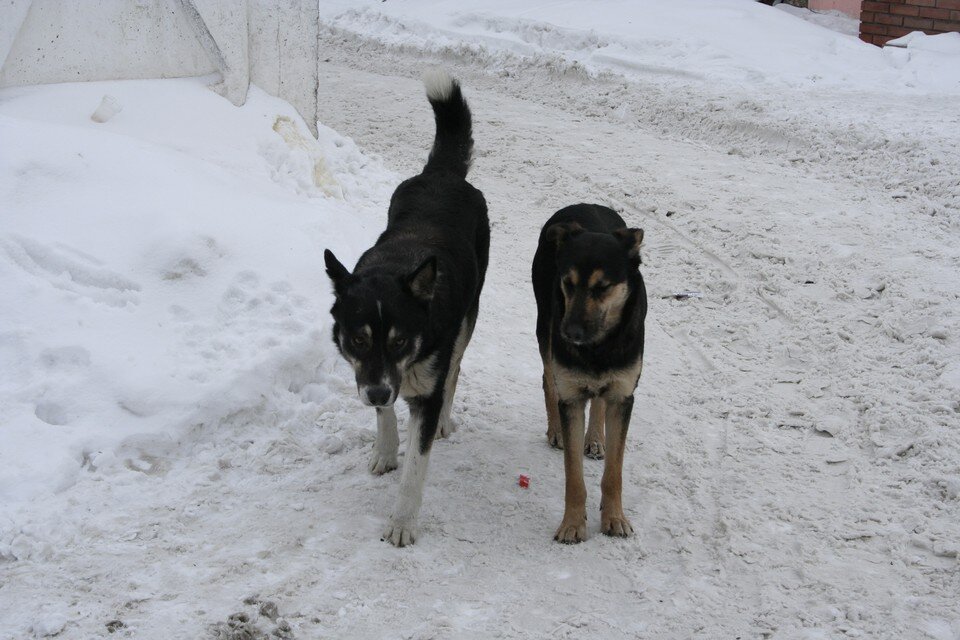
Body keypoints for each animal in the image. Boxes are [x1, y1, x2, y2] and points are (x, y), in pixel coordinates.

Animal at [322, 72, 488, 548]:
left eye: (399, 341)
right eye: (358, 339)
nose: (379, 393)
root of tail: (441, 174)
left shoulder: (421, 389)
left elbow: (416, 466)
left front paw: (402, 523)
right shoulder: (370, 376)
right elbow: (384, 418)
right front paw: (383, 450)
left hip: (469, 316)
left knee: (455, 370)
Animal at [528, 202, 648, 544]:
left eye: (603, 287)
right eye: (567, 283)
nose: (570, 333)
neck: (598, 345)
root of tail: (584, 205)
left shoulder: (623, 395)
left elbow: (614, 473)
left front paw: (615, 518)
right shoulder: (570, 395)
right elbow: (573, 476)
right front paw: (572, 523)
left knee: (598, 400)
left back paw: (595, 438)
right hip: (545, 327)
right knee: (548, 380)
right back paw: (556, 430)